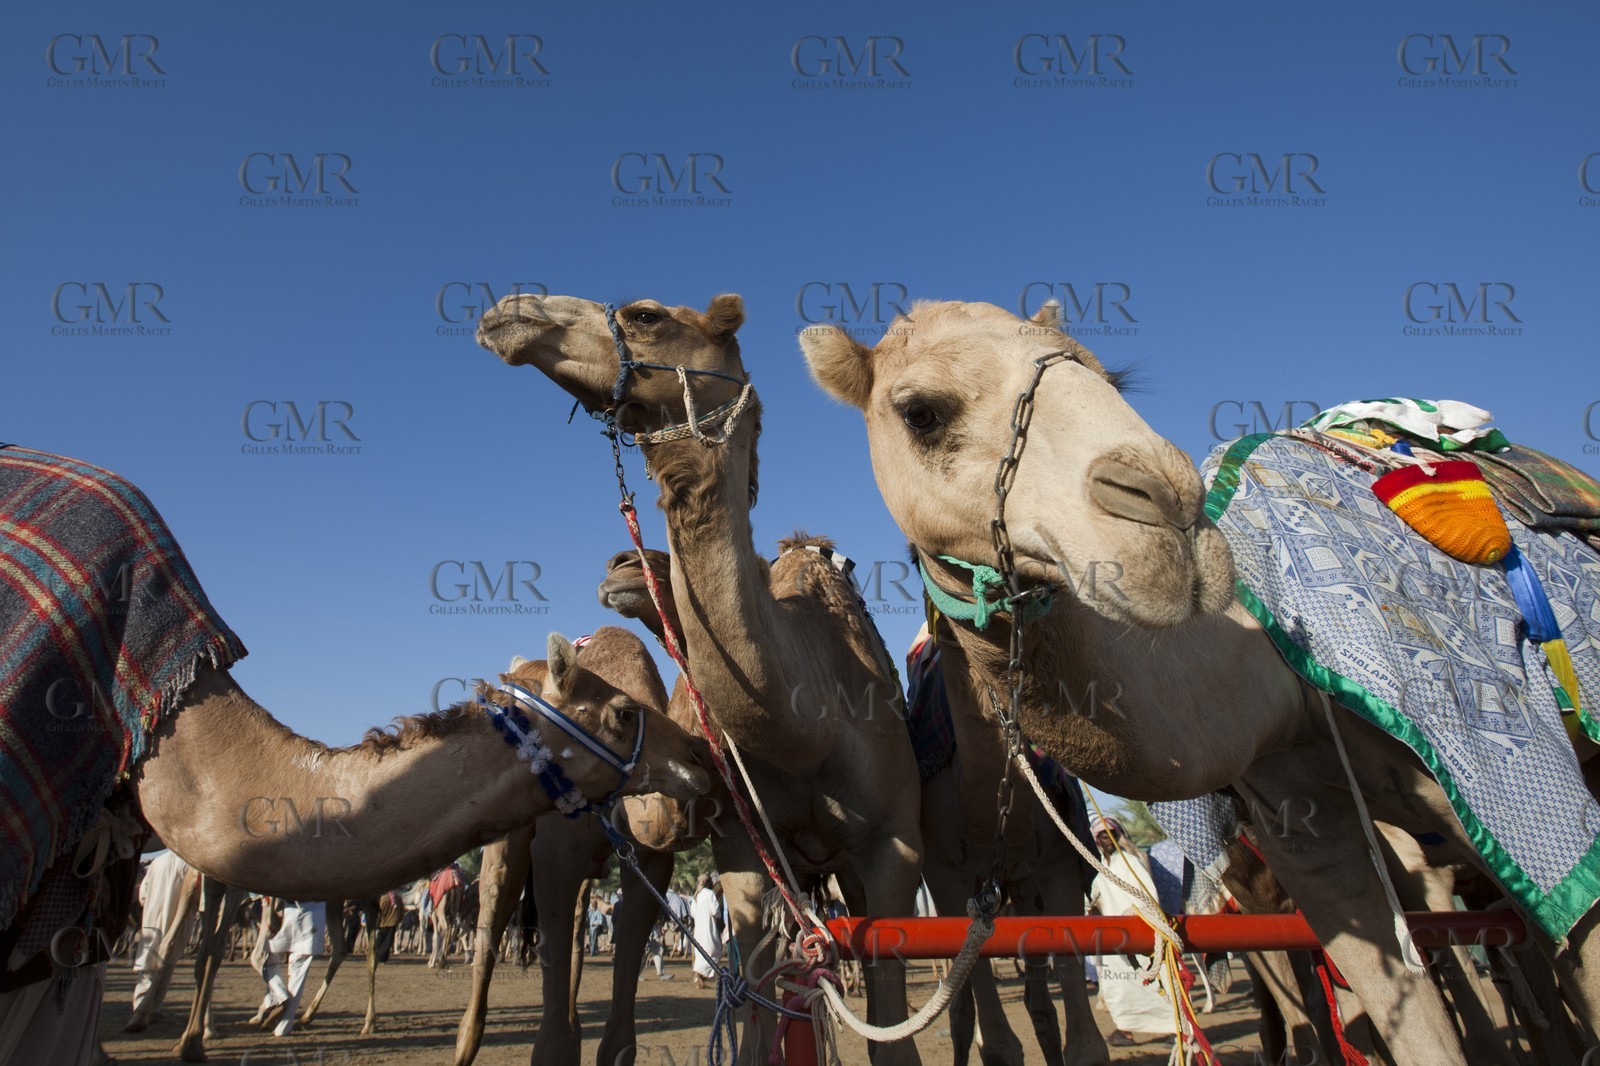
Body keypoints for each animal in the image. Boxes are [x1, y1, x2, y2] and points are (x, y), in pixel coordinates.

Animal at [477, 293, 927, 1065]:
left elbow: (885, 1034)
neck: (813, 721)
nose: (512, 311)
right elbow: (753, 1012)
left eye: (646, 315)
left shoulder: (893, 847)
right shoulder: (742, 847)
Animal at [800, 298, 1600, 1064]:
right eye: (921, 412)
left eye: (1112, 378)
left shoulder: (1504, 768)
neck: (1285, 690)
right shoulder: (1311, 836)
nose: (1171, 508)